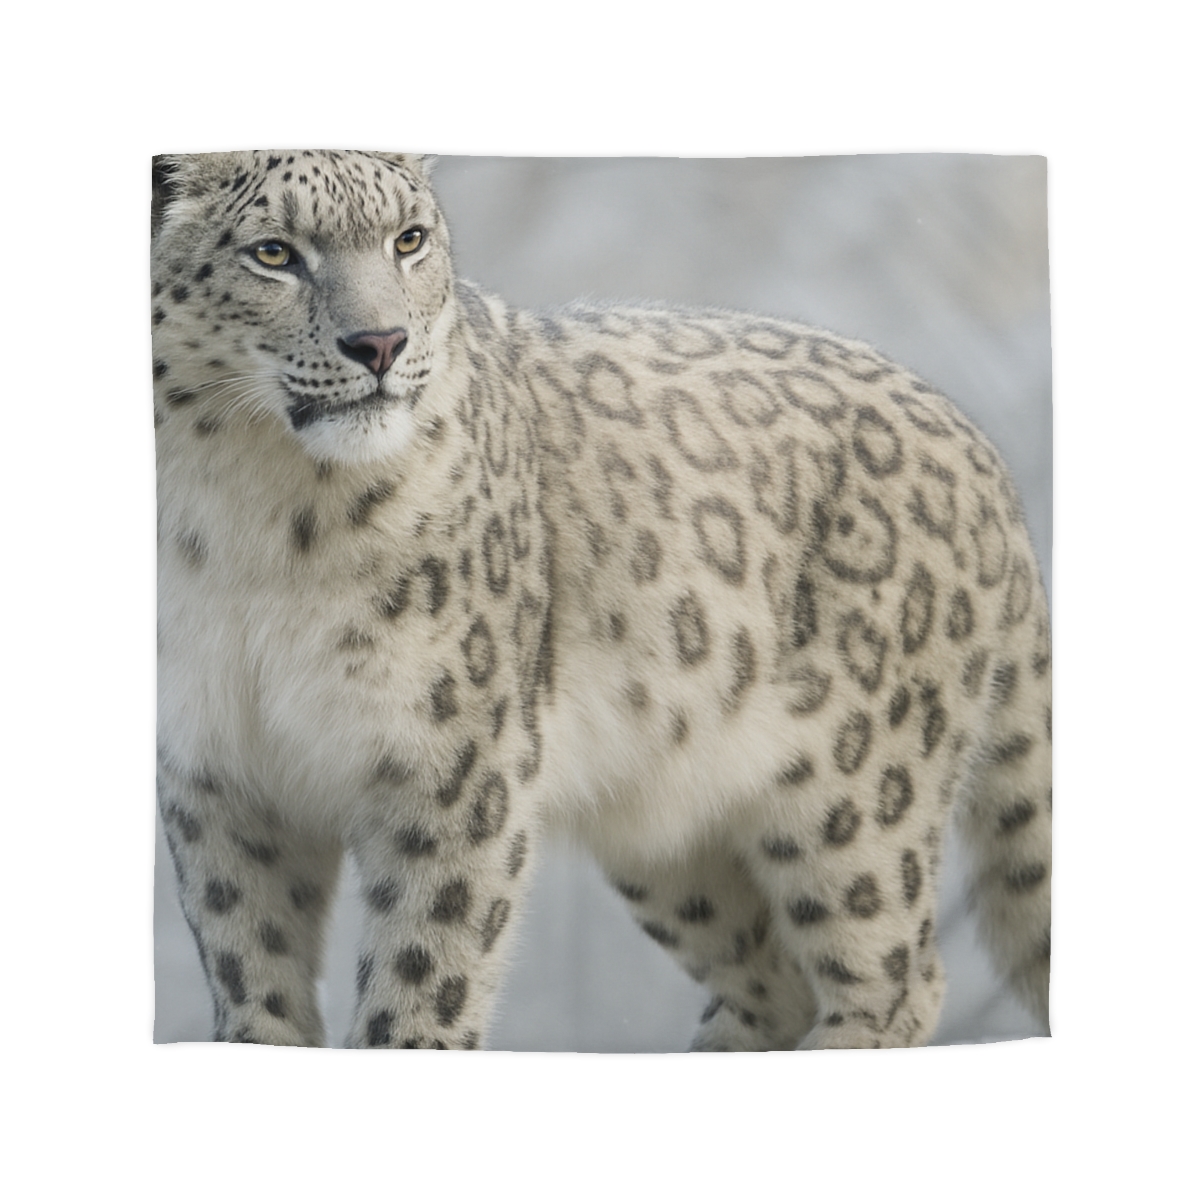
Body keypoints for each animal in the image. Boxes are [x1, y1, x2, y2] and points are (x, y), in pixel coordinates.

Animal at [152, 150, 1051, 1050]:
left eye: (408, 239)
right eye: (273, 252)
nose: (381, 343)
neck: (252, 516)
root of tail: (981, 449)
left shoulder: (452, 763)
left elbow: (421, 974)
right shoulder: (220, 773)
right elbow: (252, 963)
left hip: (857, 793)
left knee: (893, 975)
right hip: (670, 838)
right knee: (768, 981)